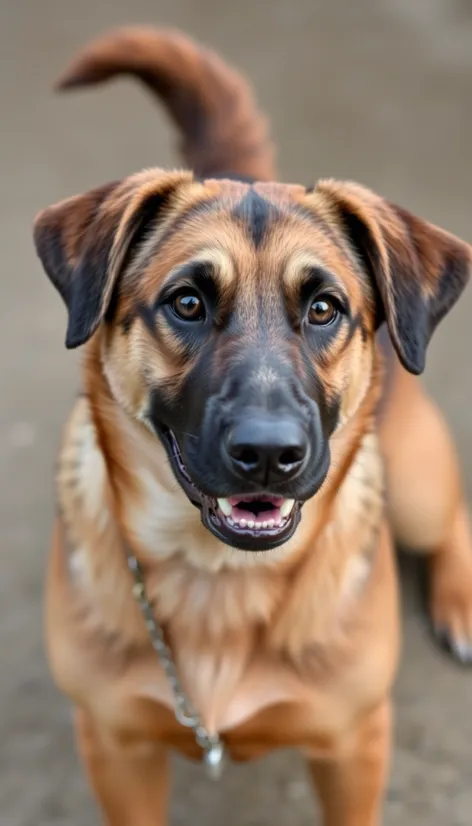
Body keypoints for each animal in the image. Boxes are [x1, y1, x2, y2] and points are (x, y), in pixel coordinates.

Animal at [32, 25, 472, 824]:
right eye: (186, 302)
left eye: (324, 308)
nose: (269, 455)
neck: (219, 582)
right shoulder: (116, 750)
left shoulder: (356, 748)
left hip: (419, 485)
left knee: (452, 517)